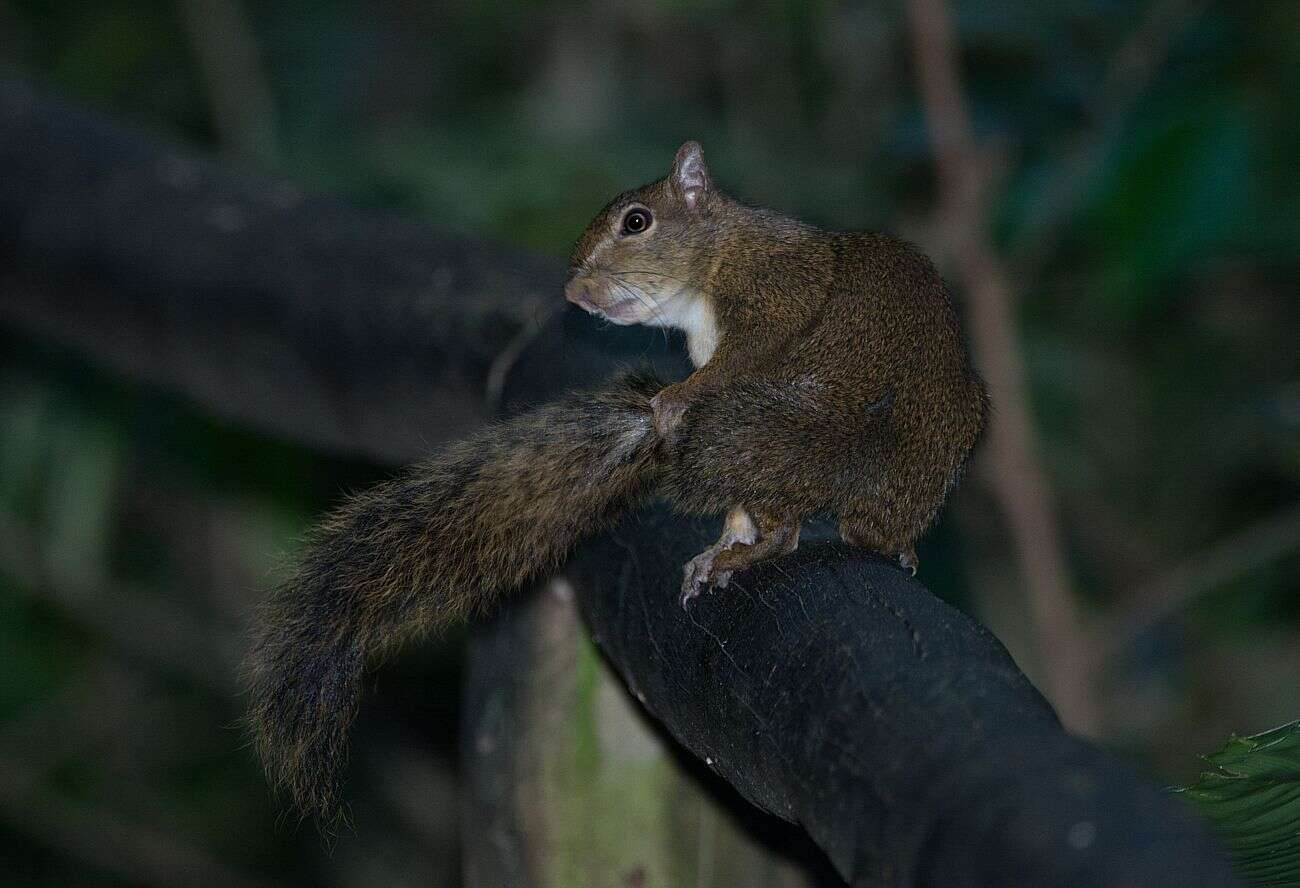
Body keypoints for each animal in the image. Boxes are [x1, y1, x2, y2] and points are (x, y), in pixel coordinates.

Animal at [244, 142, 982, 832]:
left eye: (636, 221)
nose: (574, 293)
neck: (716, 268)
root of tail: (843, 434)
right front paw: (714, 532)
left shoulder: (777, 290)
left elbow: (749, 349)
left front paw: (675, 401)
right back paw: (733, 551)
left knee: (804, 528)